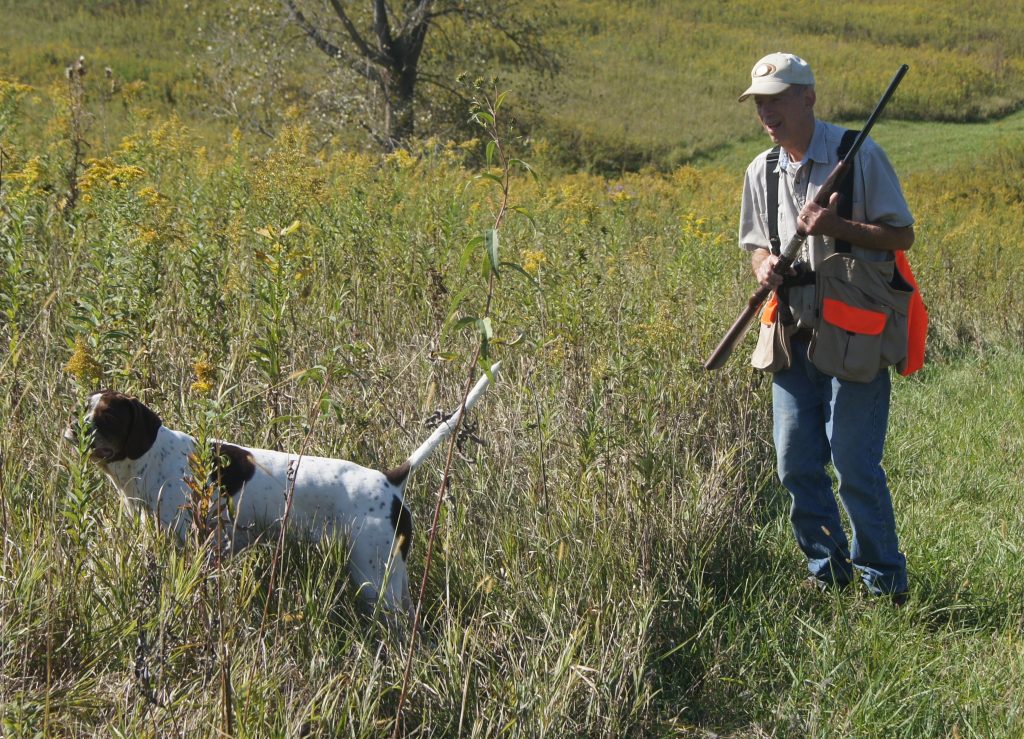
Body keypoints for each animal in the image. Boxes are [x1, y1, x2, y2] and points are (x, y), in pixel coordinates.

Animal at [64, 362, 499, 614]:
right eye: (81, 409)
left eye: (107, 418)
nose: (73, 429)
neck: (152, 460)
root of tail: (389, 480)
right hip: (393, 576)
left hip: (374, 578)